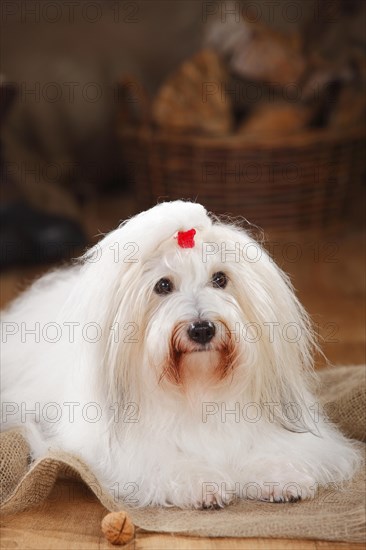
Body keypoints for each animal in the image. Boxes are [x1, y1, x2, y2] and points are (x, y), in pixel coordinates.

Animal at [0, 202, 360, 508]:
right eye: (163, 286)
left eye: (220, 278)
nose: (202, 329)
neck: (197, 387)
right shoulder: (123, 454)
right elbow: (169, 462)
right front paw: (202, 484)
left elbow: (265, 449)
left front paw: (280, 476)